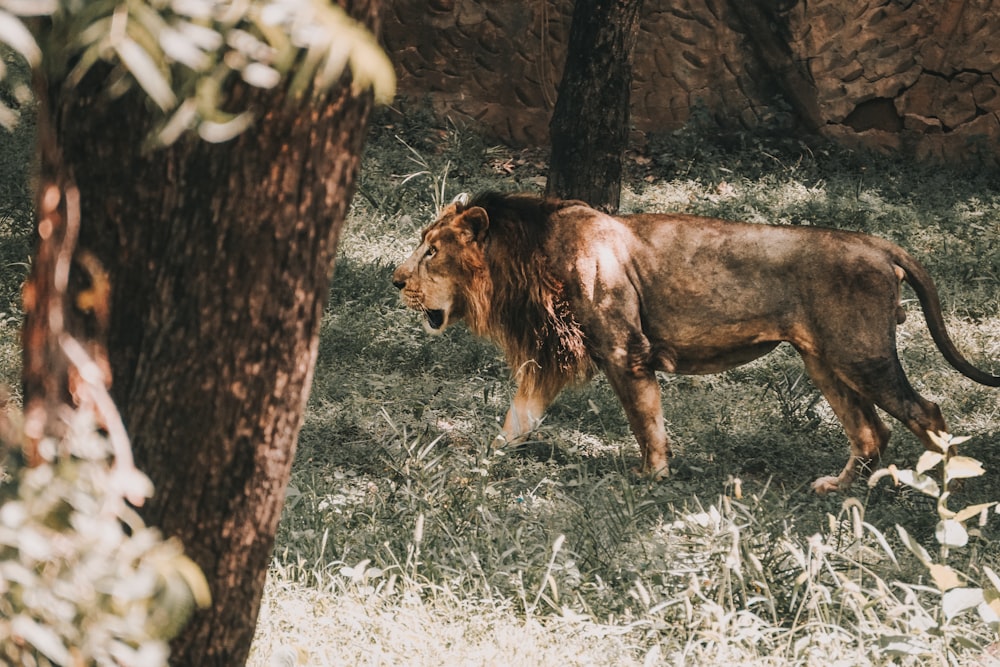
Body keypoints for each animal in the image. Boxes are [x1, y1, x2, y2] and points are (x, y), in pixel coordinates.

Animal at [392, 190, 1000, 494]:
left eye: (432, 251)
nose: (395, 281)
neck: (523, 260)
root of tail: (876, 244)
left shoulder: (624, 350)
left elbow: (645, 422)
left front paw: (652, 479)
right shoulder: (551, 359)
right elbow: (515, 421)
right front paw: (478, 466)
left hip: (861, 356)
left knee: (927, 412)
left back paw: (942, 499)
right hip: (825, 363)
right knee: (872, 432)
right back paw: (843, 489)